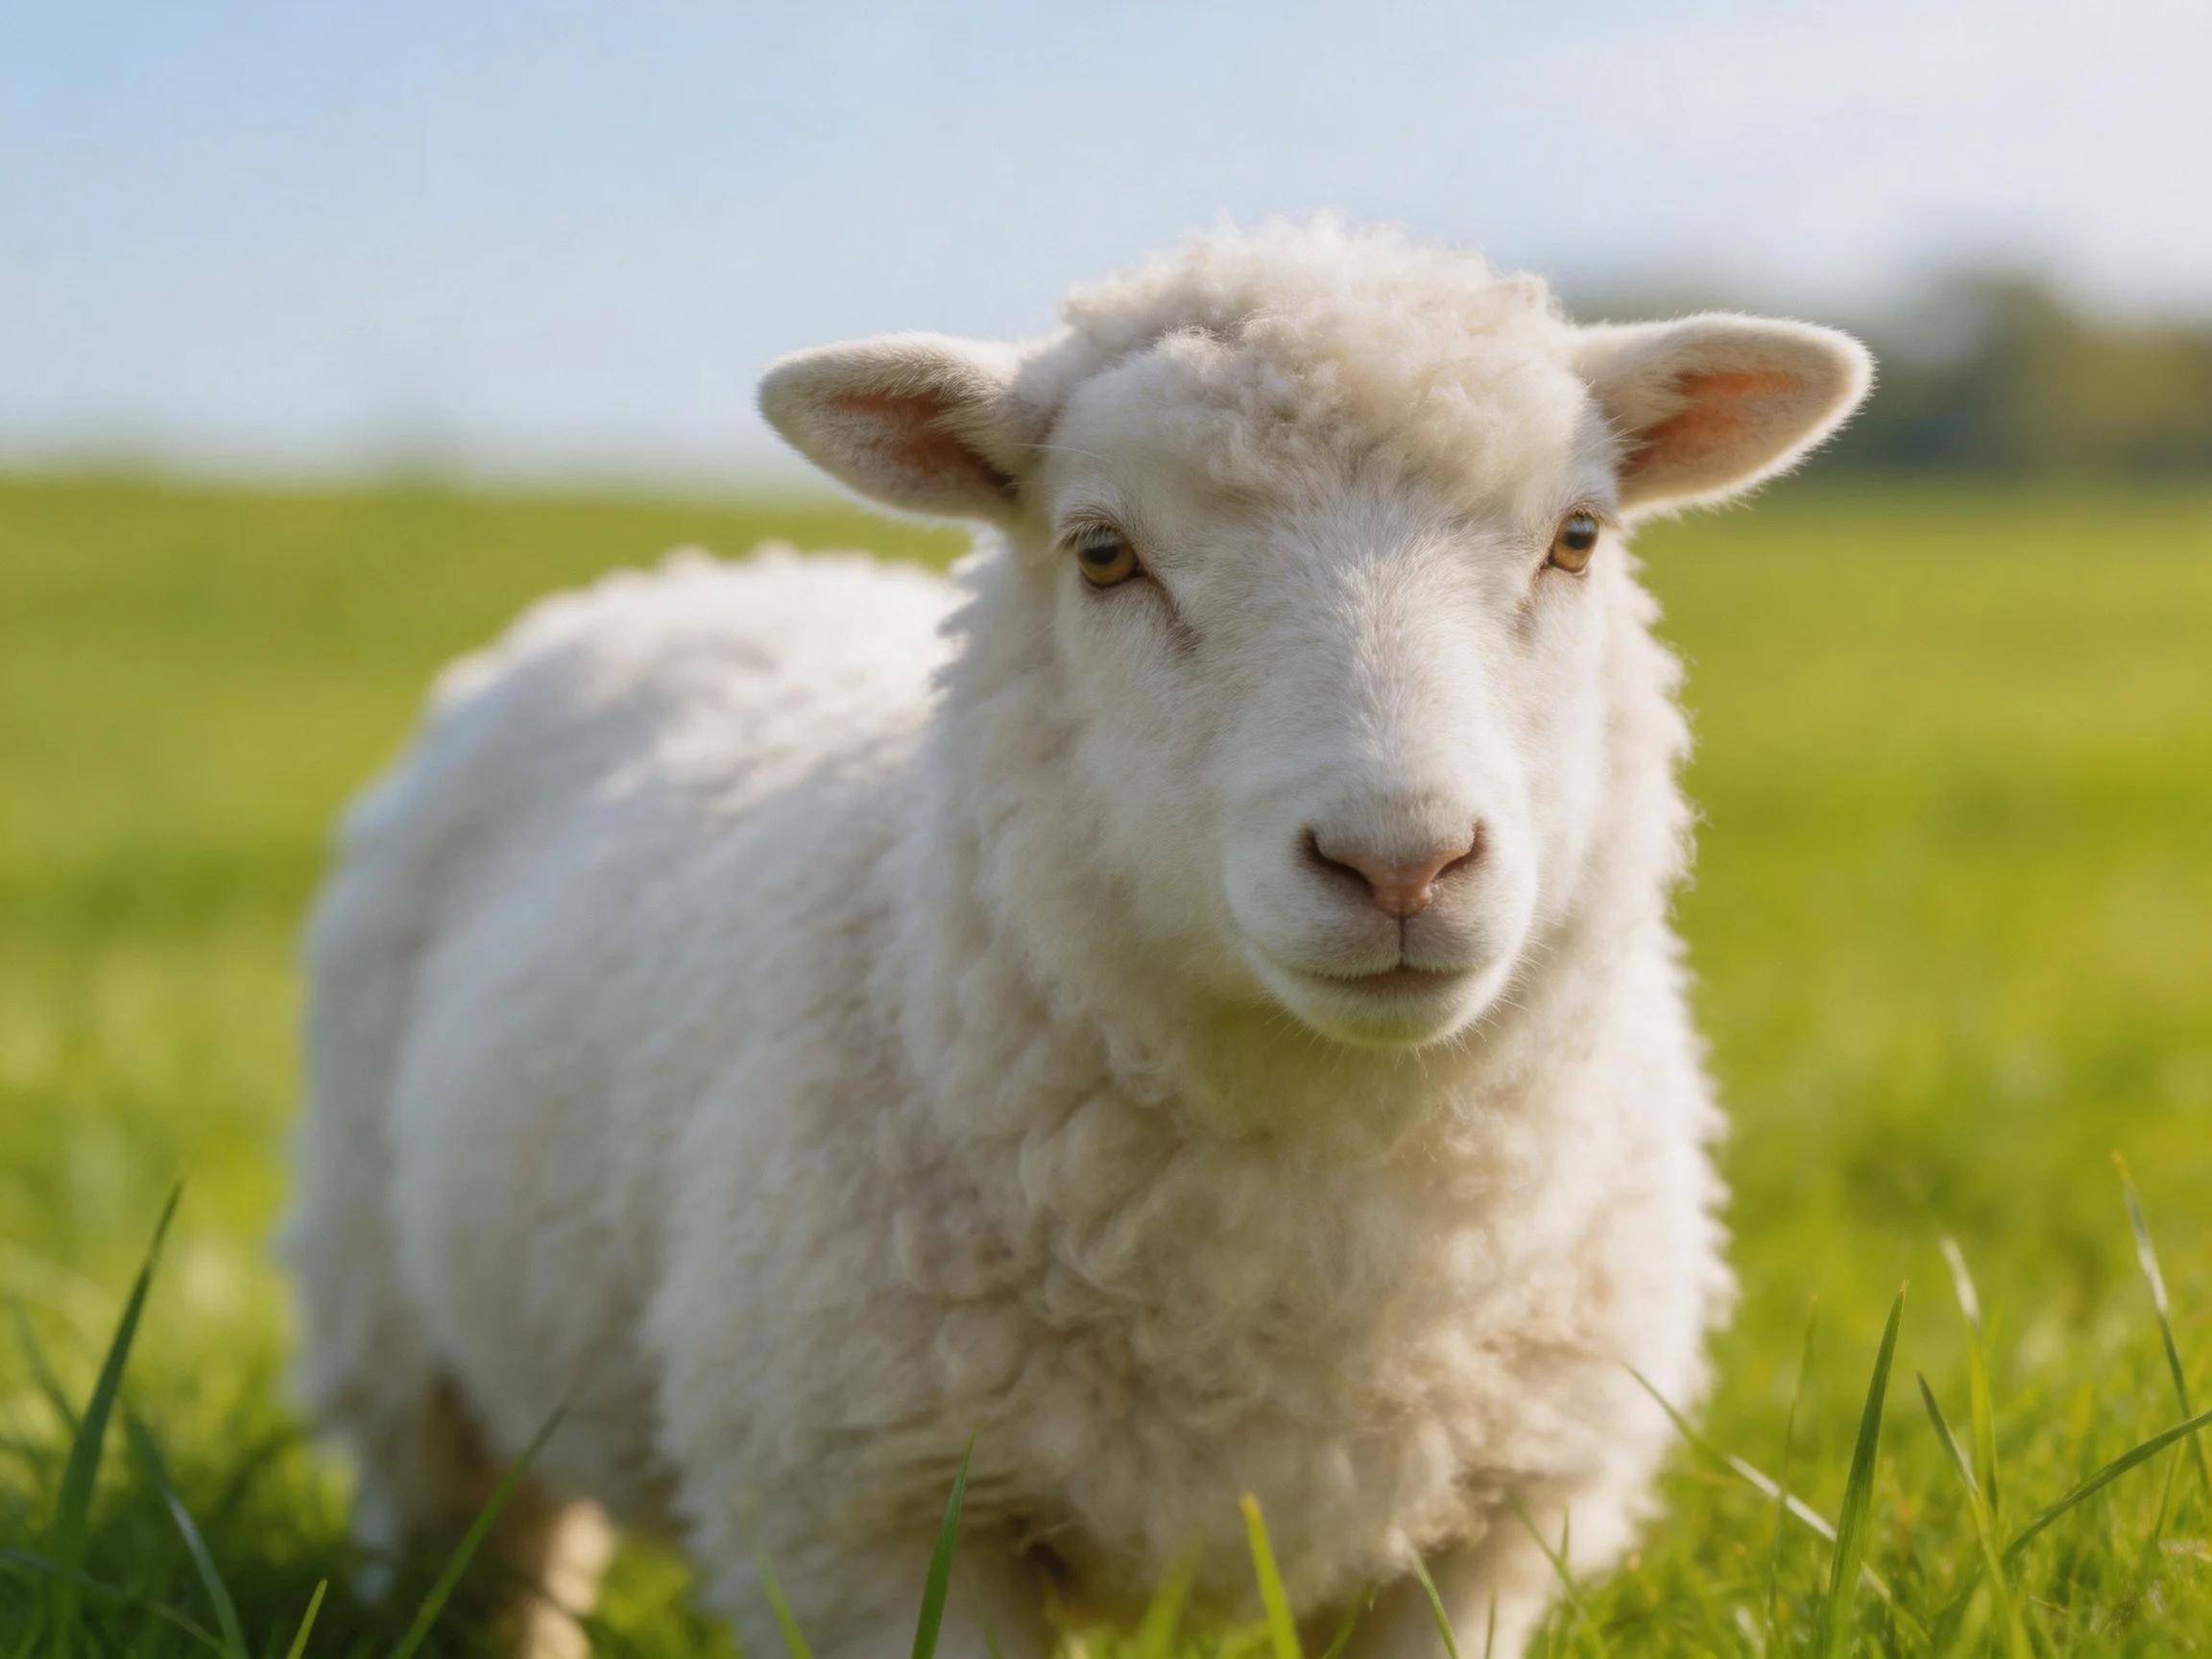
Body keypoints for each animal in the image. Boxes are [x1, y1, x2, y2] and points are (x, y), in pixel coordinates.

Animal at [284, 220, 1872, 1659]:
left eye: (1578, 538)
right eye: (1105, 553)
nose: (1400, 862)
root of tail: (699, 573)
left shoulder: (1498, 1523)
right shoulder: (867, 1518)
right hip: (396, 1333)